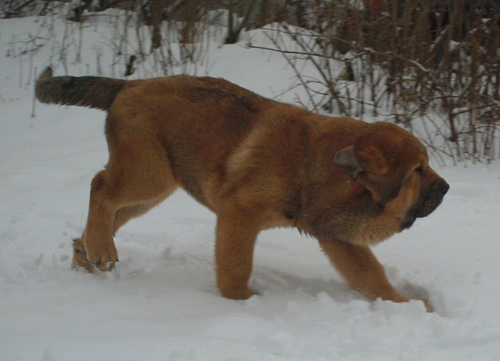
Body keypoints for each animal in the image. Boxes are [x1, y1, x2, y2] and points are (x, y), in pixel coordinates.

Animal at [35, 67, 450, 310]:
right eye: (418, 169)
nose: (446, 187)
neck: (323, 168)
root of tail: (131, 84)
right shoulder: (239, 214)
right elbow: (235, 267)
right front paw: (242, 305)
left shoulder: (338, 239)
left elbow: (371, 276)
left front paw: (407, 305)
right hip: (146, 172)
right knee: (101, 187)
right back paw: (99, 249)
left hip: (154, 189)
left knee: (107, 213)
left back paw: (87, 253)